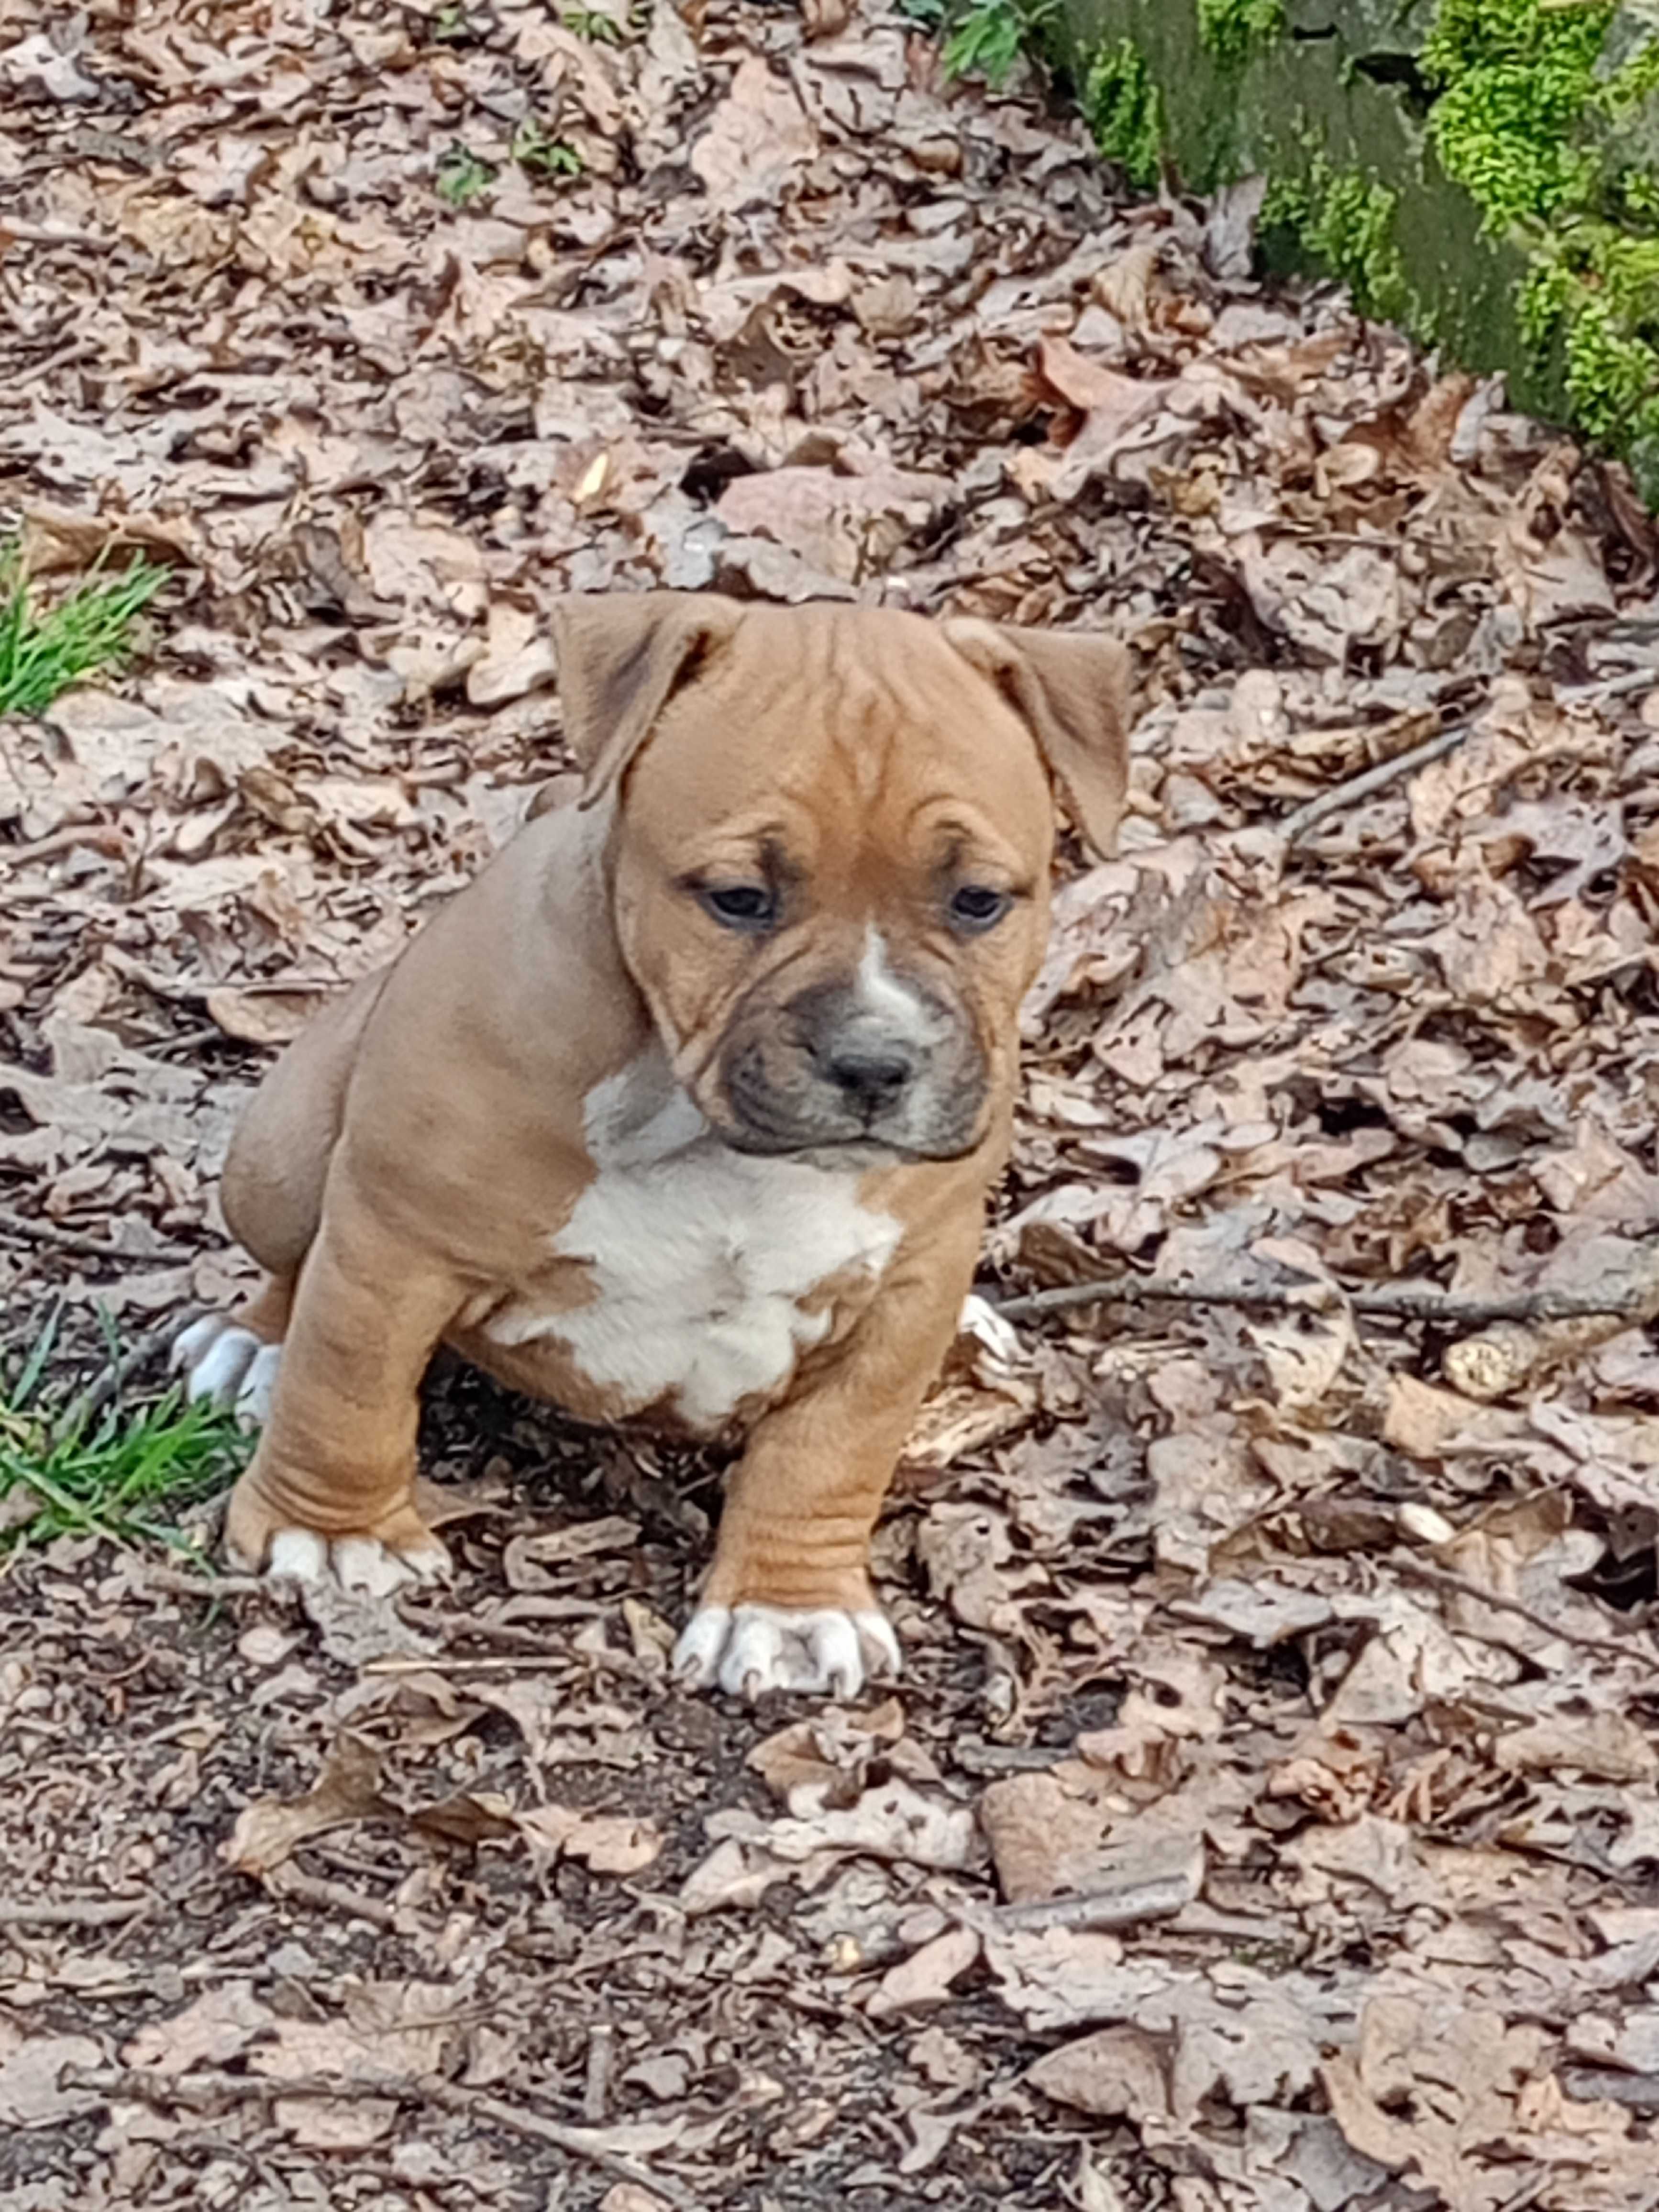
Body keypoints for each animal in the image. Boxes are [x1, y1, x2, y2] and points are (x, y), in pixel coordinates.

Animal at [172, 588, 1132, 1690]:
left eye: (977, 901)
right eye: (738, 898)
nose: (874, 1059)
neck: (702, 1129)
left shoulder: (902, 1299)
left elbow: (829, 1452)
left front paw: (788, 1606)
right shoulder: (394, 1237)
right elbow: (348, 1389)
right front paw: (334, 1535)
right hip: (279, 1150)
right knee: (297, 1263)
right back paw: (252, 1341)